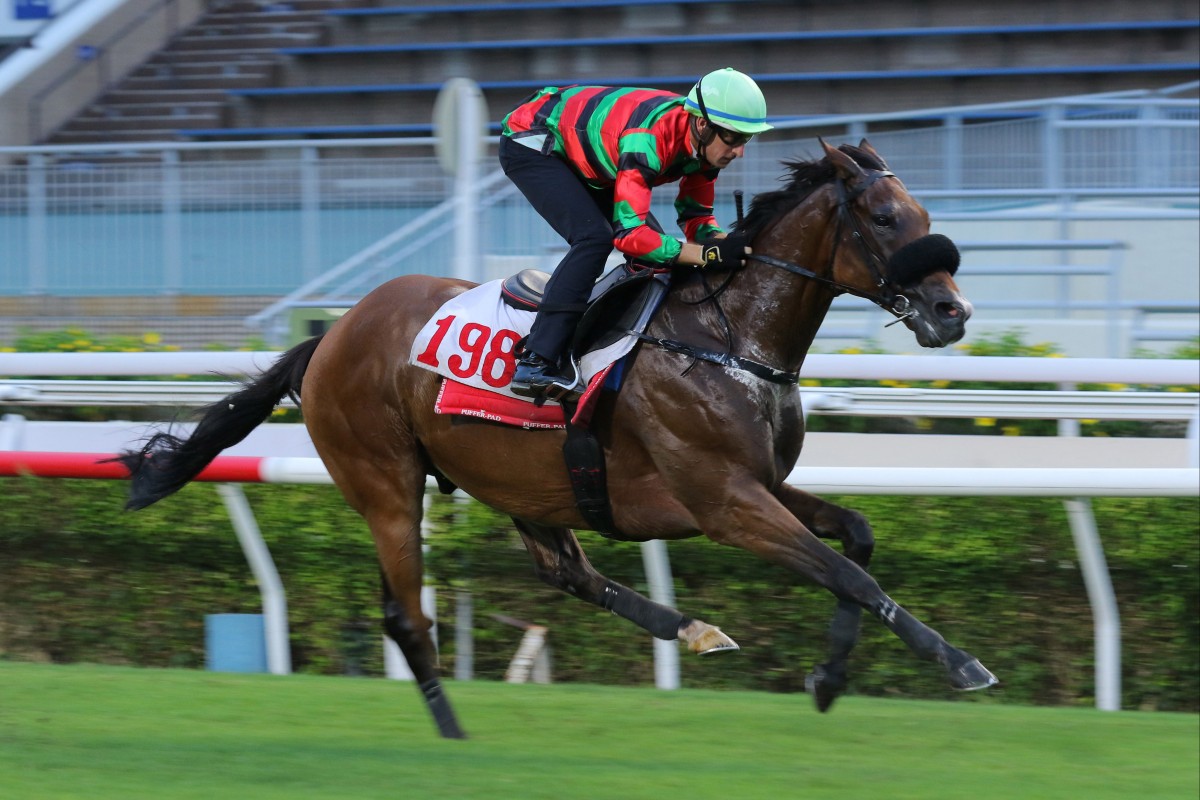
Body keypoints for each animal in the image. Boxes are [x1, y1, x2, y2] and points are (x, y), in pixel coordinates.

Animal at [119, 140, 993, 743]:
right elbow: (848, 571)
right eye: (886, 220)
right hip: (386, 482)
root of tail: (329, 336)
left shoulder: (762, 484)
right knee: (407, 616)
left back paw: (694, 630)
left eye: (922, 218)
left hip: (517, 476)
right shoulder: (725, 502)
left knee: (565, 572)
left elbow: (858, 539)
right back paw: (452, 730)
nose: (953, 313)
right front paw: (959, 661)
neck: (728, 338)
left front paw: (828, 677)